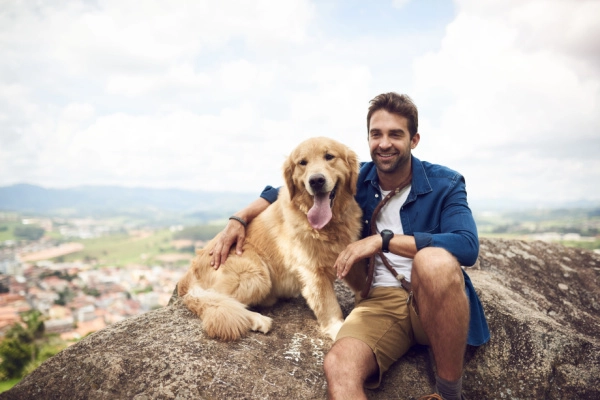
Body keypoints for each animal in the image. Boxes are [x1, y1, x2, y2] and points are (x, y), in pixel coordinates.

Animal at [177, 138, 366, 340]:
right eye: (302, 162)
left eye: (329, 156)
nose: (316, 181)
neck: (328, 226)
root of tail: (188, 275)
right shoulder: (313, 271)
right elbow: (329, 305)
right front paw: (338, 329)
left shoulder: (348, 255)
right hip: (255, 274)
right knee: (217, 300)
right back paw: (257, 319)